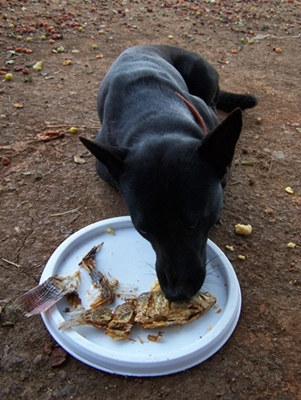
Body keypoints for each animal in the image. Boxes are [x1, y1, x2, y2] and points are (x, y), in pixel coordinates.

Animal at [79, 44, 255, 300]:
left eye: (193, 224)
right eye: (143, 230)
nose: (177, 294)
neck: (155, 119)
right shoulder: (105, 168)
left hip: (199, 72)